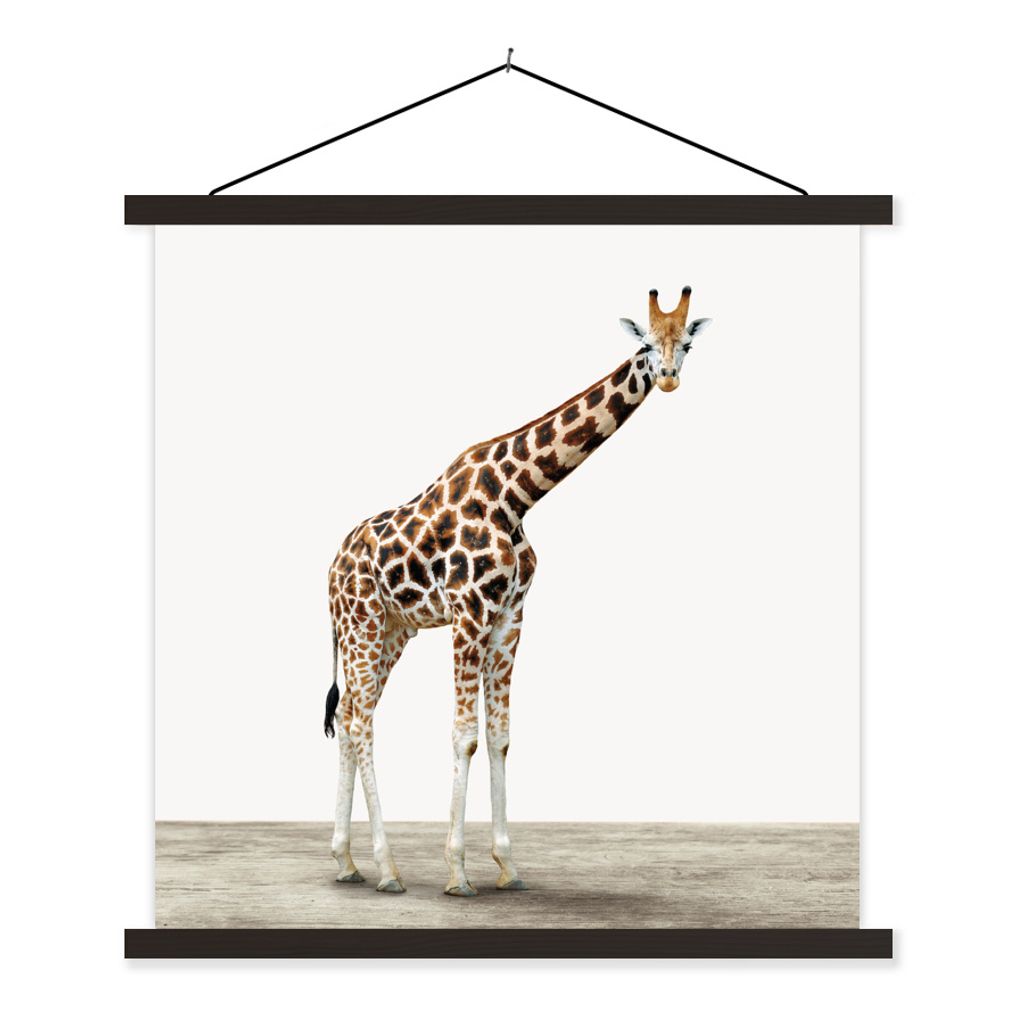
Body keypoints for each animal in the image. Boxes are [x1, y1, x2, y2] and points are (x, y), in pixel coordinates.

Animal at [324, 286, 712, 896]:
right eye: (647, 344)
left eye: (687, 343)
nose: (669, 377)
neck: (516, 495)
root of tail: (330, 567)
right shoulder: (469, 614)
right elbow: (464, 735)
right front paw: (458, 872)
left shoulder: (510, 617)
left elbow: (501, 735)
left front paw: (507, 866)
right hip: (360, 624)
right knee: (362, 721)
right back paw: (387, 869)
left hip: (391, 631)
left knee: (347, 717)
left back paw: (346, 861)